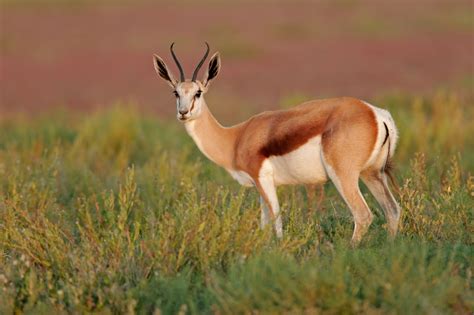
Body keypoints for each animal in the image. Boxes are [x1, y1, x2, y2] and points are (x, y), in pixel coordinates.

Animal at [154, 42, 402, 244]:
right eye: (176, 92)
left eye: (198, 92)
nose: (183, 113)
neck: (235, 138)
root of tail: (376, 113)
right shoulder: (259, 186)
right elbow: (264, 224)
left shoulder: (263, 179)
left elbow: (277, 221)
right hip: (372, 174)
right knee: (392, 210)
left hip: (344, 175)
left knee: (363, 214)